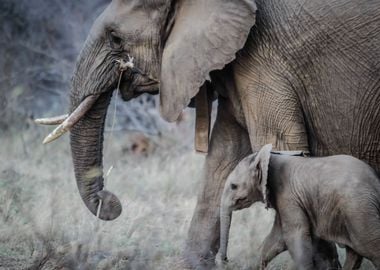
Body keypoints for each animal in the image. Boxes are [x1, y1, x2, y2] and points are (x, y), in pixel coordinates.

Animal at [218, 146, 380, 270]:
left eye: (233, 186)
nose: (225, 259)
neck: (269, 157)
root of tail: (376, 181)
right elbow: (276, 240)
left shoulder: (288, 196)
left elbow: (295, 236)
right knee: (355, 253)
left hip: (359, 209)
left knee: (370, 247)